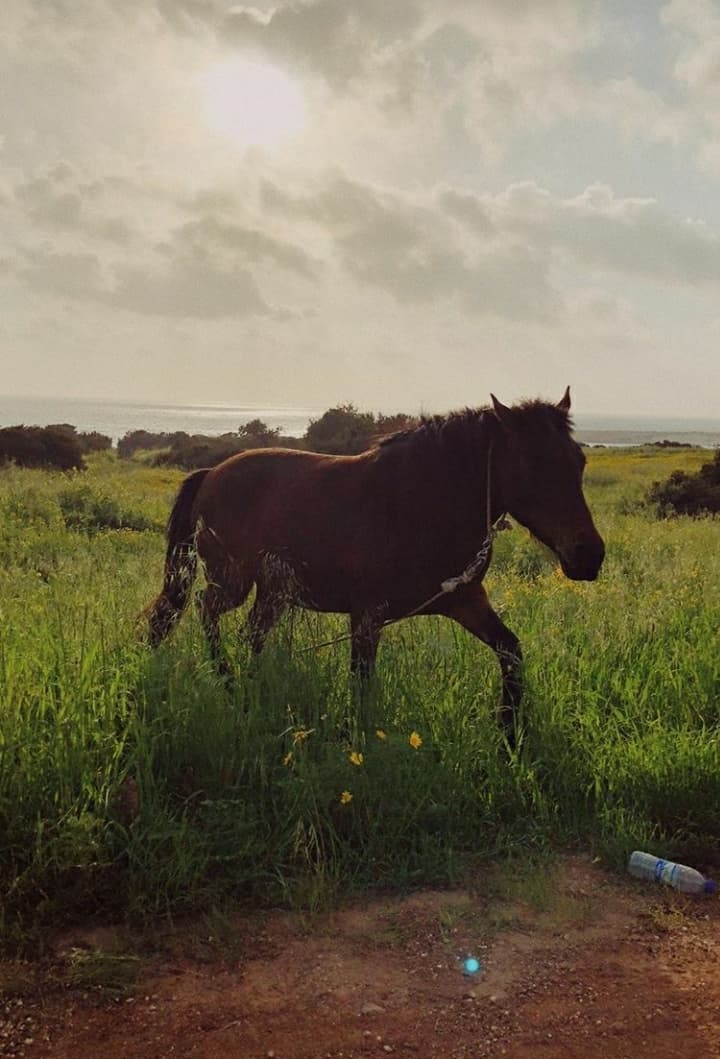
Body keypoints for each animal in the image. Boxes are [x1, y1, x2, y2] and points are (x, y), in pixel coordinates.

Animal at [145, 388, 604, 747]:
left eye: (579, 461)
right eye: (532, 464)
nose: (589, 555)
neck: (420, 504)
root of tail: (212, 473)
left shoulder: (464, 601)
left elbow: (510, 651)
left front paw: (509, 734)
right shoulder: (367, 615)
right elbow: (361, 682)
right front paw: (356, 743)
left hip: (273, 592)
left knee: (251, 634)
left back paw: (252, 689)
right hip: (233, 582)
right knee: (205, 610)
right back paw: (225, 681)